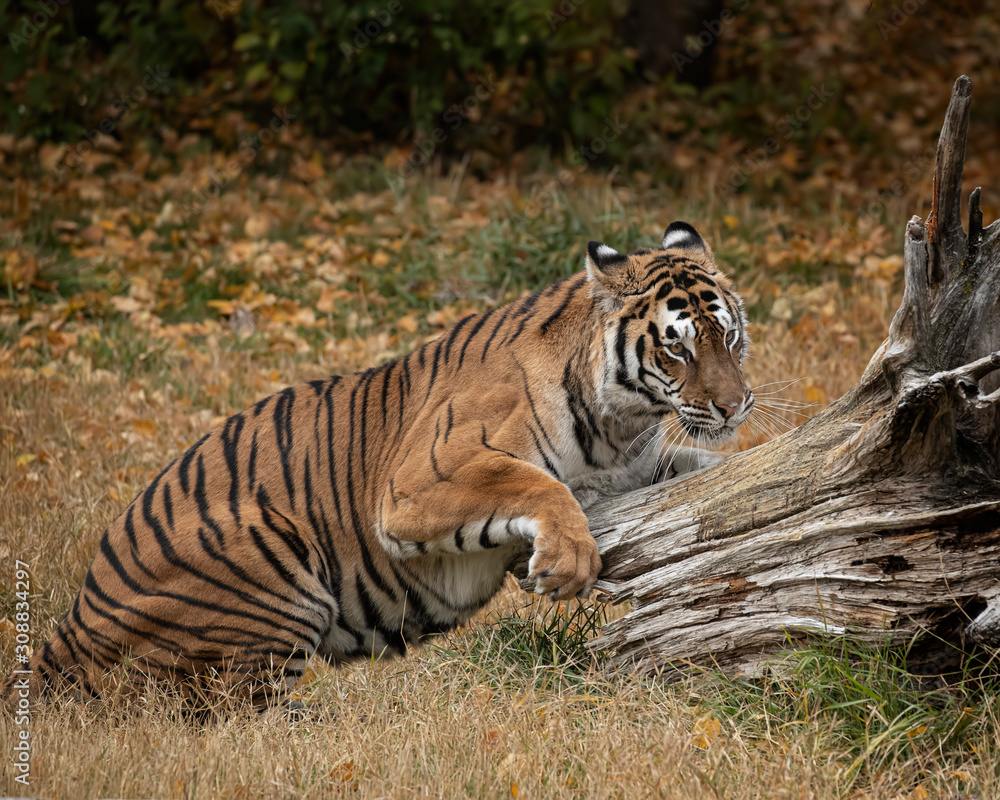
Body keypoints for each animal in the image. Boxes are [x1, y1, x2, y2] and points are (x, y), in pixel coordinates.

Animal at [3, 221, 753, 708]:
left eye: (731, 335)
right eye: (677, 347)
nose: (736, 404)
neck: (620, 425)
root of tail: (72, 623)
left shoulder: (639, 465)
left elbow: (698, 468)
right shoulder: (423, 480)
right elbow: (538, 483)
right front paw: (567, 563)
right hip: (271, 555)